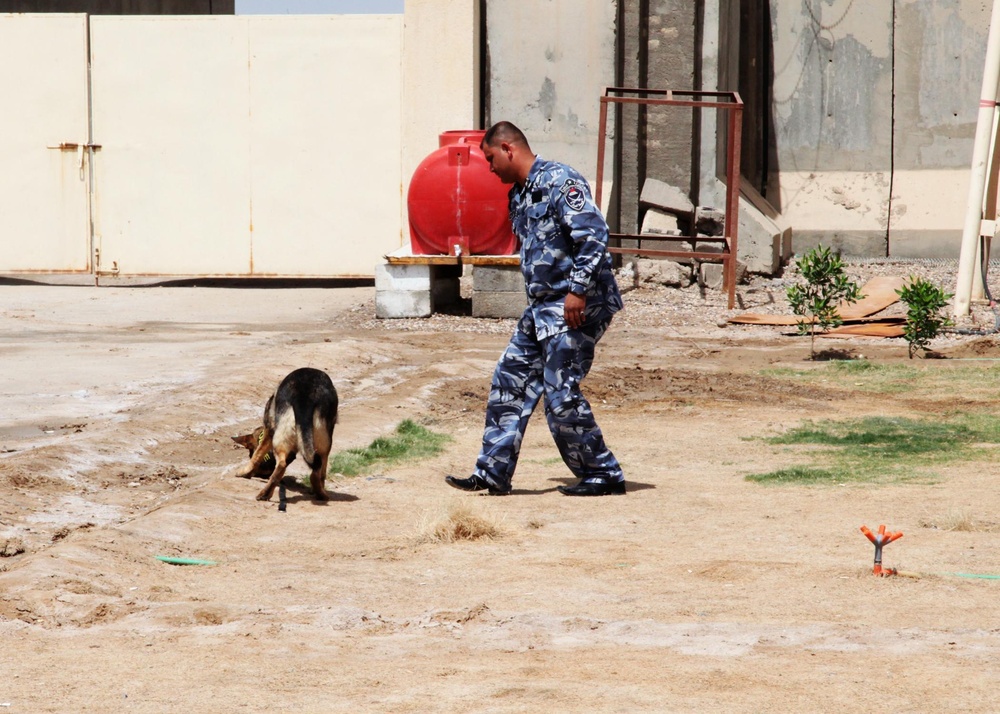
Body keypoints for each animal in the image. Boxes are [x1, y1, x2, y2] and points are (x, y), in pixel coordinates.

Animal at [231, 368, 338, 500]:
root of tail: (304, 396)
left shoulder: (269, 430)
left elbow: (257, 455)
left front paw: (245, 472)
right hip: (324, 441)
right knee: (317, 470)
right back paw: (320, 493)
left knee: (283, 464)